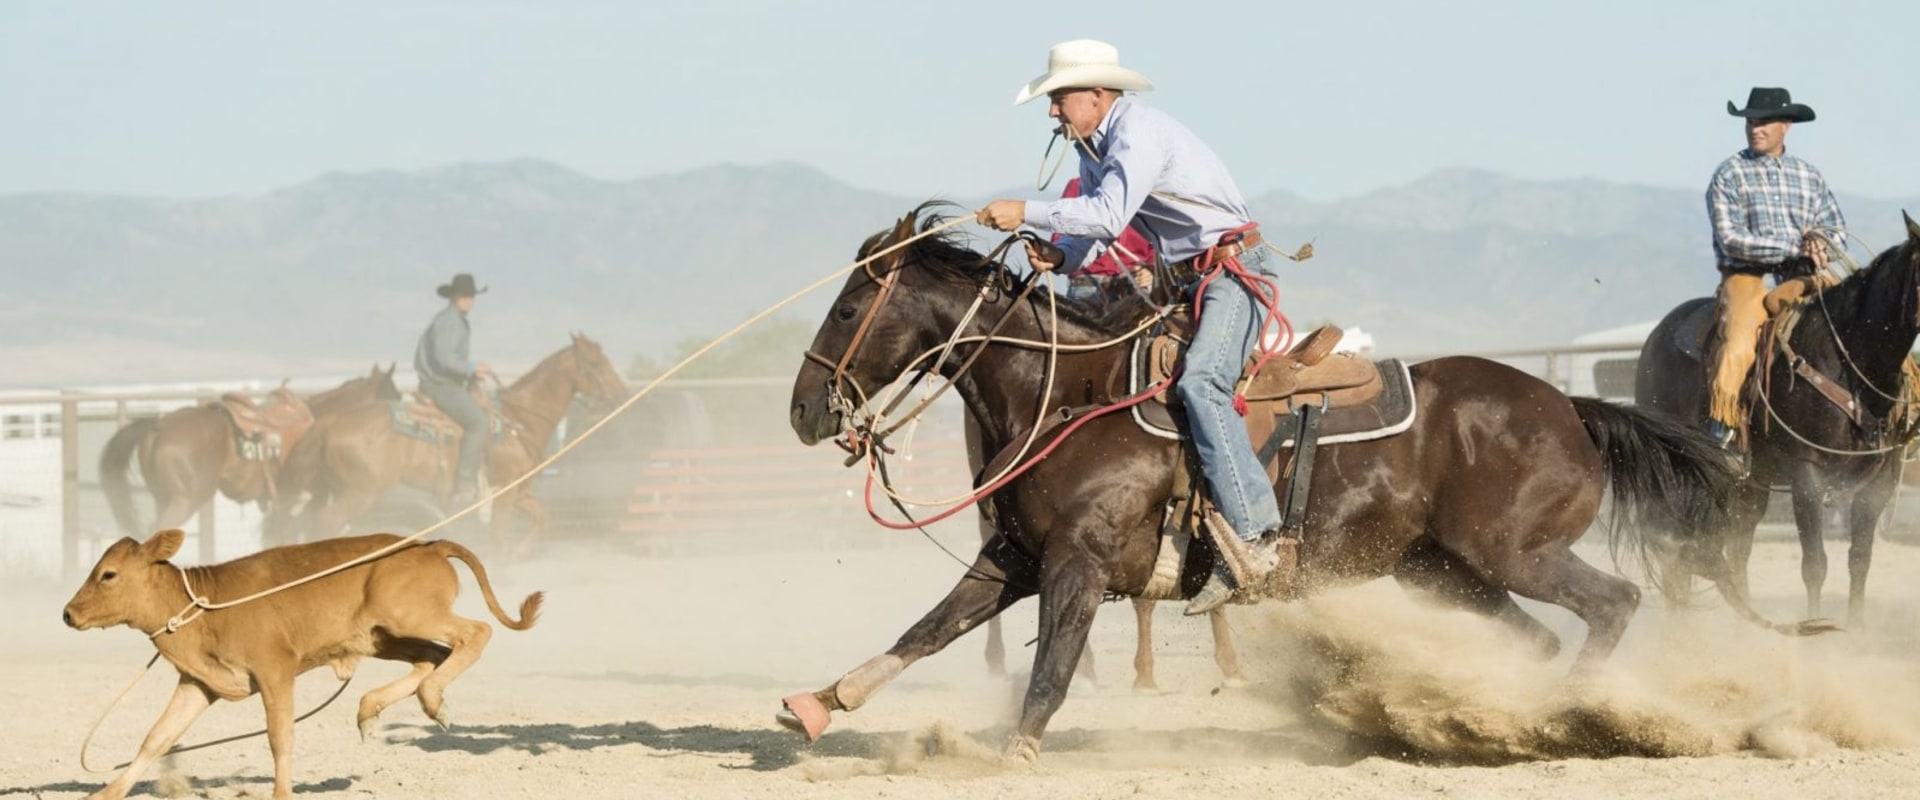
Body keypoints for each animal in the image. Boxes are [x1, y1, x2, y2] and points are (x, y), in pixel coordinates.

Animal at [61, 529, 541, 798]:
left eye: (108, 574)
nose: (68, 613)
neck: (204, 607)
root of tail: (430, 547)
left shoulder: (275, 672)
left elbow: (280, 738)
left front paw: (281, 792)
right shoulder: (200, 685)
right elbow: (156, 738)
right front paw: (106, 793)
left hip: (410, 616)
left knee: (476, 633)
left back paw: (429, 697)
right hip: (384, 636)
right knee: (433, 656)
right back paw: (382, 709)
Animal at [266, 331, 625, 556]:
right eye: (596, 364)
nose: (620, 392)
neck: (515, 421)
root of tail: (329, 421)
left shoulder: (520, 493)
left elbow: (543, 518)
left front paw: (521, 551)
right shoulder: (504, 495)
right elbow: (498, 537)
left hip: (325, 488)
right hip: (360, 492)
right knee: (327, 522)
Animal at [775, 205, 1812, 759]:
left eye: (853, 302)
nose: (803, 408)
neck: (1070, 395)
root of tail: (1568, 405)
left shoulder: (1076, 568)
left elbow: (1050, 670)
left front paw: (1014, 753)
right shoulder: (1017, 558)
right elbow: (925, 631)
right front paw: (821, 703)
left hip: (1514, 552)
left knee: (1613, 604)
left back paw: (1572, 715)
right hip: (1444, 571)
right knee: (1538, 638)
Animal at [1635, 213, 1920, 629]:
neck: (1851, 360)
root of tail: (1657, 335)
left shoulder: (1878, 481)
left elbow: (1860, 560)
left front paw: (1855, 631)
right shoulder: (1807, 474)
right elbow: (1815, 564)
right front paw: (1817, 628)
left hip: (1749, 484)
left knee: (1735, 549)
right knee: (1674, 548)